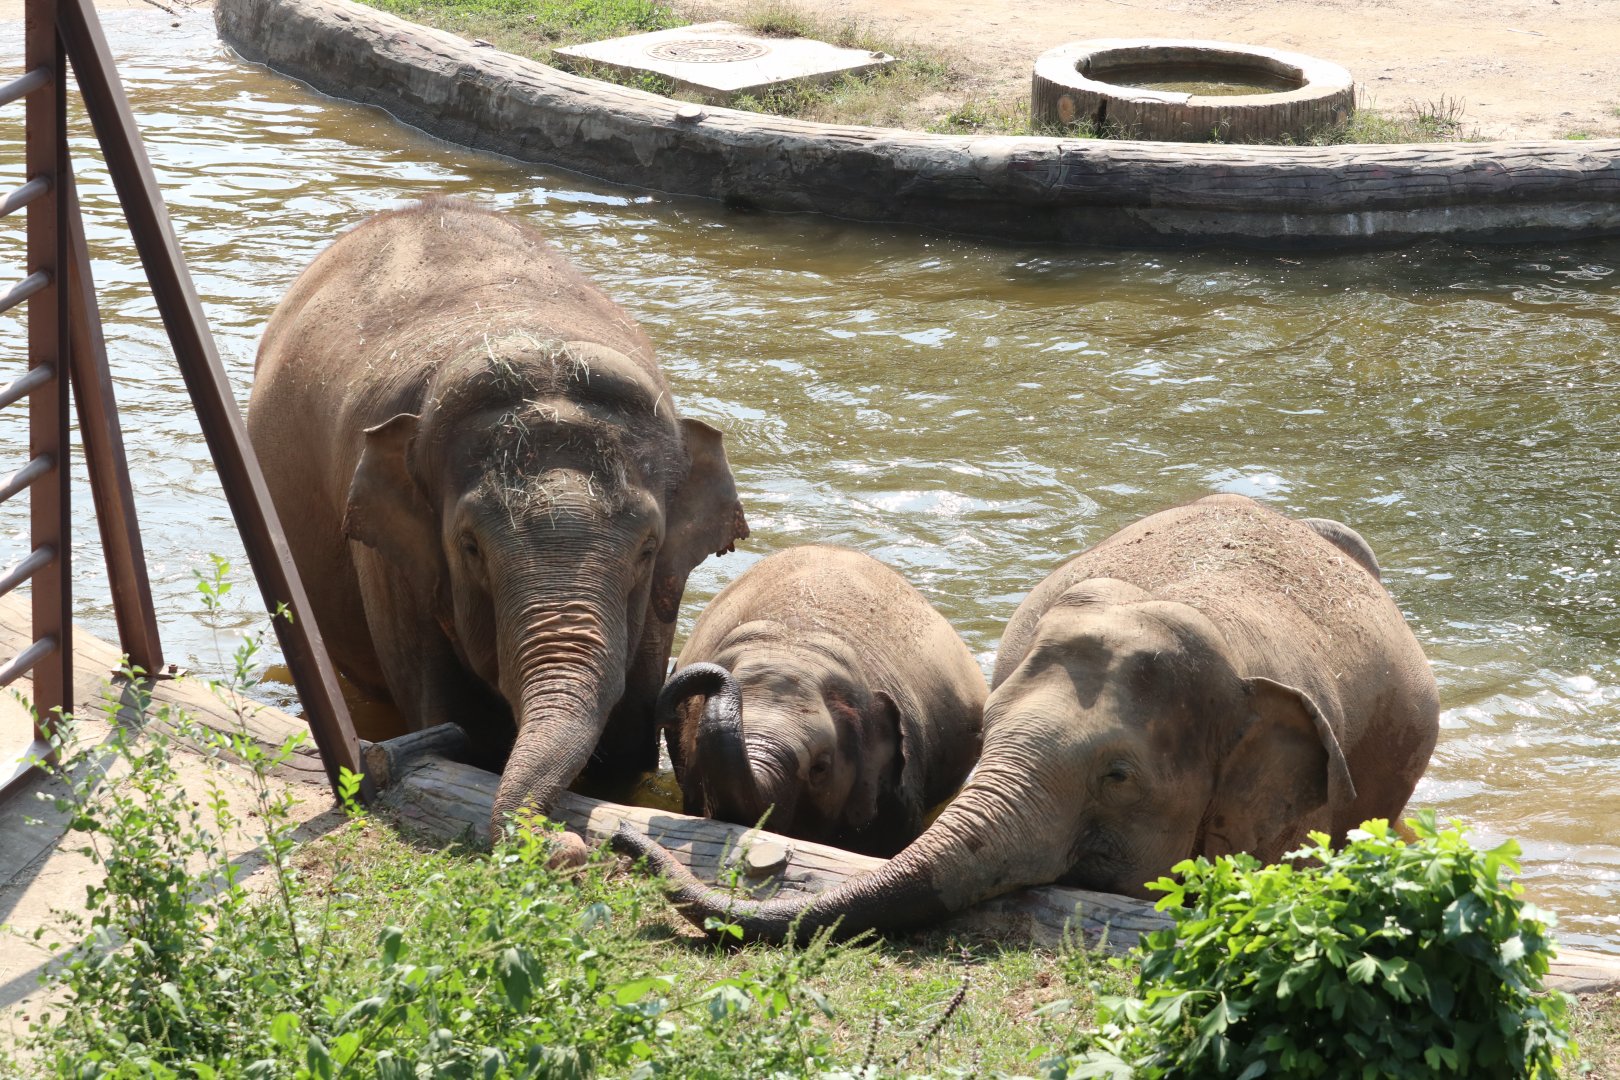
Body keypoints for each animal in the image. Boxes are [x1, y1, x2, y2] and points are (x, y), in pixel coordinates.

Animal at [247, 198, 748, 834]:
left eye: (648, 549)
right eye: (469, 546)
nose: (563, 844)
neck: (527, 333)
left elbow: (626, 746)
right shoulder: (391, 564)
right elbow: (460, 728)